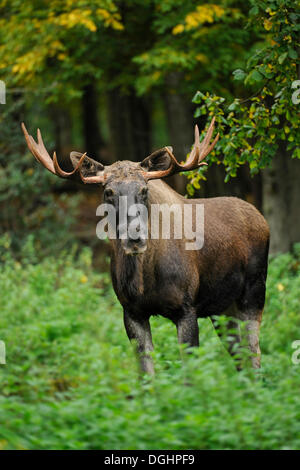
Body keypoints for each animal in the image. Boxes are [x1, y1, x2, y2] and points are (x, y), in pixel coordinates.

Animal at [21, 120, 270, 374]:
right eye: (108, 191)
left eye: (144, 190)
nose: (134, 236)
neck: (144, 281)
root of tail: (260, 217)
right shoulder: (131, 312)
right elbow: (146, 374)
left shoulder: (187, 308)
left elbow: (189, 374)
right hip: (222, 307)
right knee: (239, 355)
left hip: (254, 291)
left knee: (255, 353)